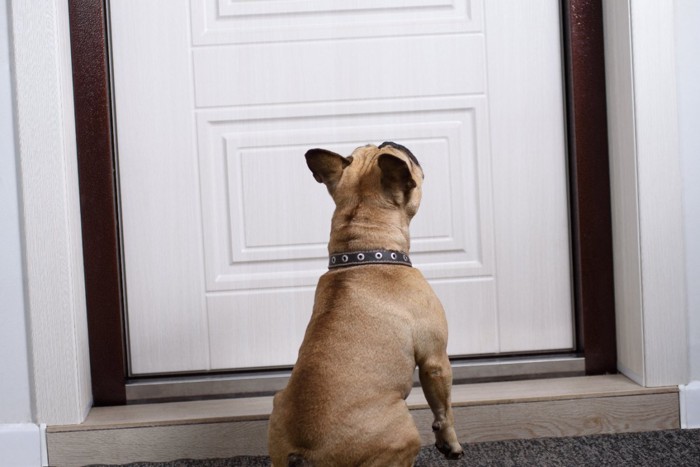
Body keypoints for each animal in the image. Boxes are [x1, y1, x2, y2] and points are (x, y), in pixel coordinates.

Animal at [268, 144, 464, 467]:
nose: (391, 141)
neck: (365, 252)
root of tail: (303, 452)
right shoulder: (435, 360)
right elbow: (443, 410)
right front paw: (450, 444)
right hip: (404, 430)